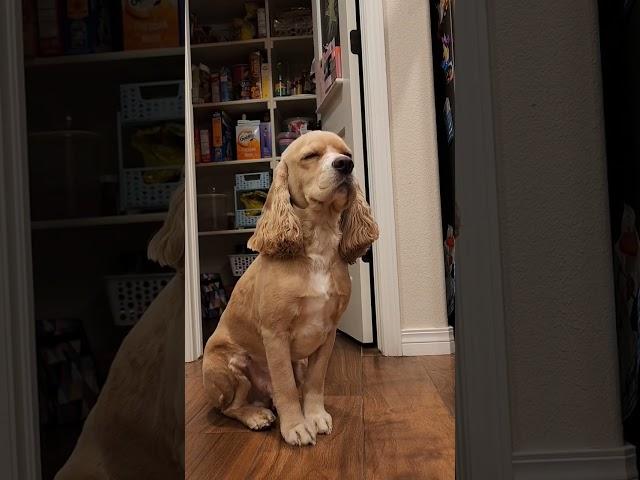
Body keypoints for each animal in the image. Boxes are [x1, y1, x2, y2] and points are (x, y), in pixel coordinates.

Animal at [202, 131, 378, 446]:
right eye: (311, 156)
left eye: (347, 153)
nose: (346, 165)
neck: (318, 242)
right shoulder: (275, 334)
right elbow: (284, 386)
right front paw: (296, 426)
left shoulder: (328, 332)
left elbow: (314, 382)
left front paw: (315, 415)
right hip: (227, 367)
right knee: (230, 406)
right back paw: (256, 416)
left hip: (296, 364)